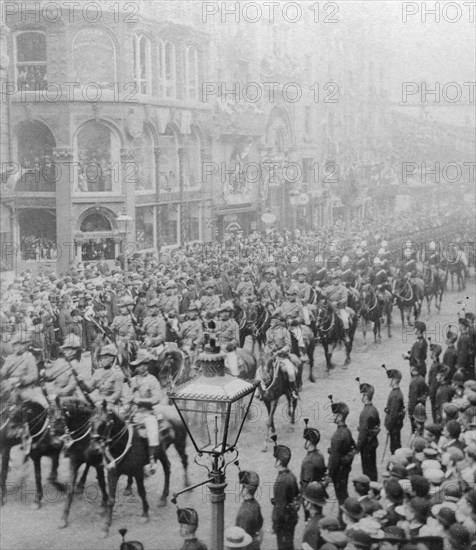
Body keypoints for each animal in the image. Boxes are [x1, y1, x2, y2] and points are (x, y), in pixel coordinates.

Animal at [57, 398, 109, 532]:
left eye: (61, 416)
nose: (54, 432)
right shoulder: (74, 462)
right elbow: (70, 489)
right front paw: (64, 518)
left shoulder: (98, 463)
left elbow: (102, 483)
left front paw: (104, 504)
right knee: (87, 466)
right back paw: (81, 484)